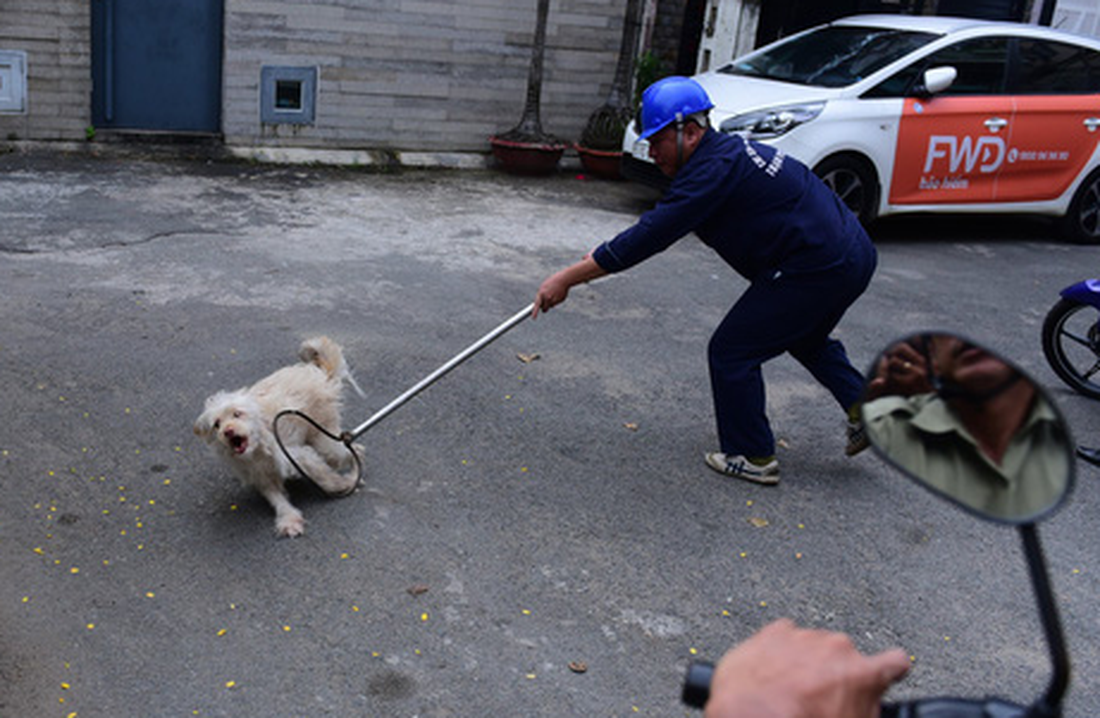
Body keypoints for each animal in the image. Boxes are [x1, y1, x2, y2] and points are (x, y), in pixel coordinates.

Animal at [195, 336, 363, 536]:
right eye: (217, 424)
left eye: (237, 414)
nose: (227, 431)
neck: (258, 447)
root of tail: (317, 372)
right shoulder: (261, 474)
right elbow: (276, 498)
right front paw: (288, 518)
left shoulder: (297, 456)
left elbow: (323, 475)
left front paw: (341, 485)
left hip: (324, 439)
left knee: (352, 449)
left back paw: (354, 474)